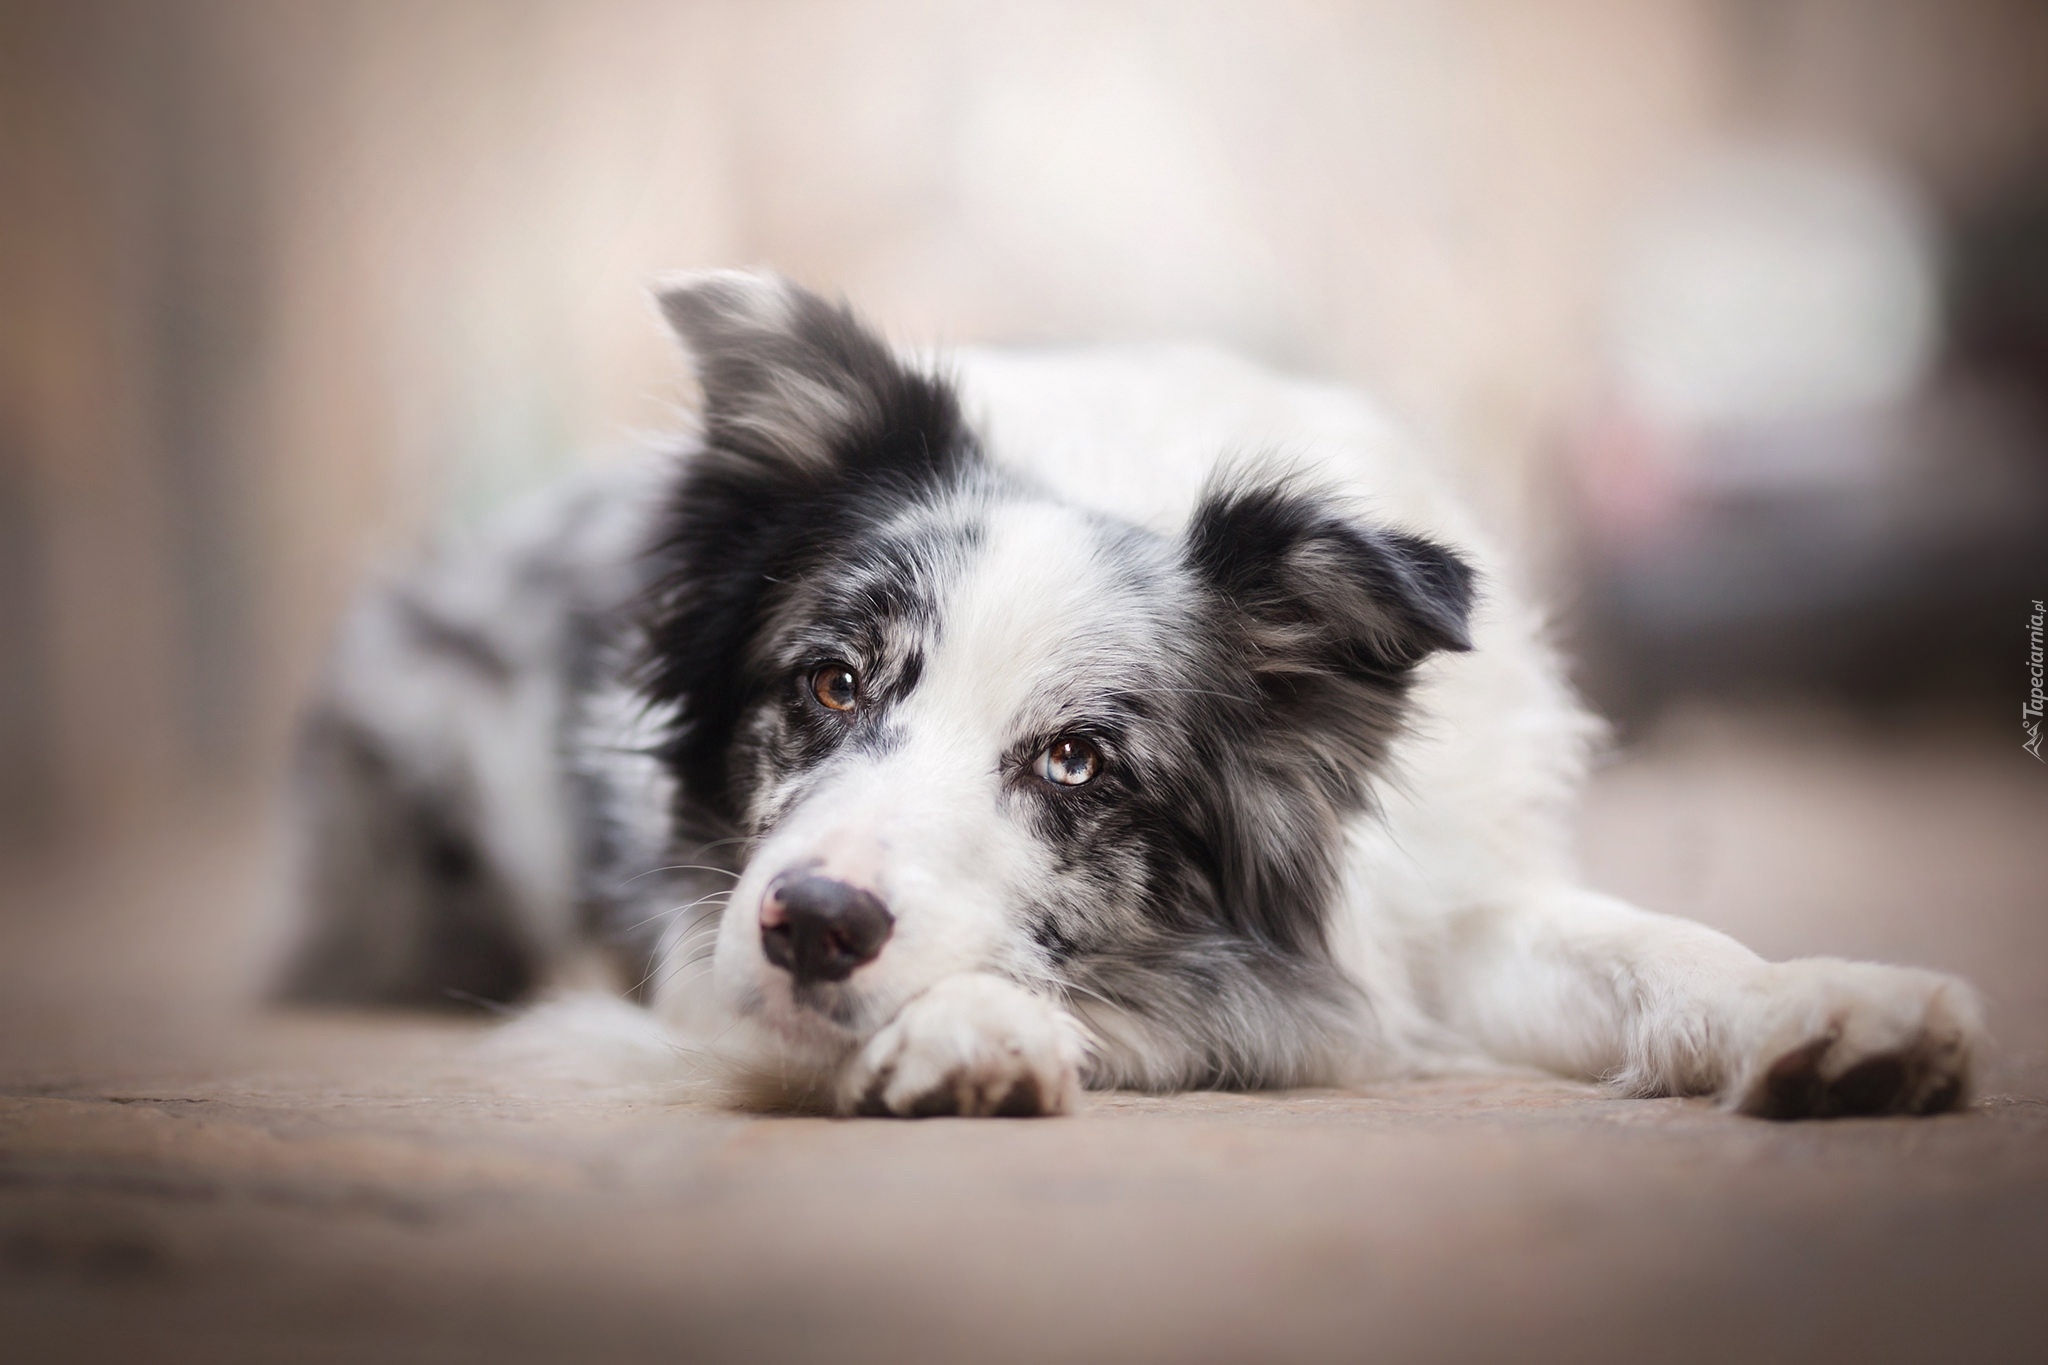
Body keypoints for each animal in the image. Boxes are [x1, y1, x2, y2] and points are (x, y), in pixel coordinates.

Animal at [280, 270, 1974, 1121]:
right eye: (828, 679)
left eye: (1080, 762)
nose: (812, 924)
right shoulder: (700, 958)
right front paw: (977, 1029)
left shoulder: (1439, 902)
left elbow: (1645, 947)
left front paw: (1817, 1004)